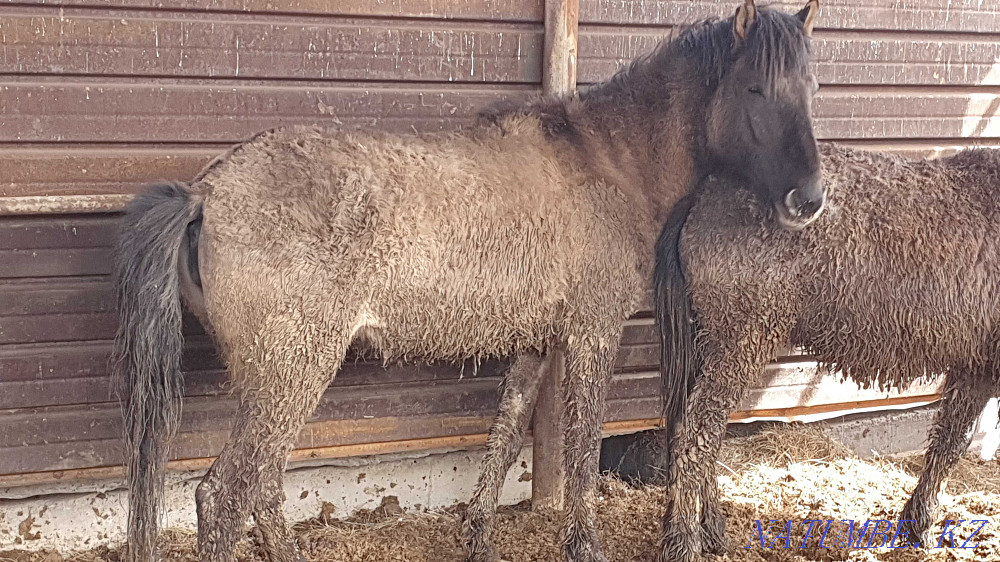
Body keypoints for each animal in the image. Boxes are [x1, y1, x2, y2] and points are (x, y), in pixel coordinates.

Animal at [111, 1, 822, 560]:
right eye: (755, 88)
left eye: (811, 86)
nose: (809, 199)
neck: (609, 162)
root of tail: (207, 192)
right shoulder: (591, 335)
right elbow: (582, 445)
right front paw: (582, 544)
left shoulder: (539, 342)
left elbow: (504, 436)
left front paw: (477, 536)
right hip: (292, 370)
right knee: (225, 493)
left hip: (275, 379)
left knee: (257, 486)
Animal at [654, 142, 1000, 561]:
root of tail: (707, 193)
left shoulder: (975, 368)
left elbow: (949, 443)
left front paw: (918, 526)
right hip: (740, 342)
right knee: (695, 437)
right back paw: (686, 541)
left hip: (713, 344)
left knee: (699, 431)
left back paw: (711, 530)